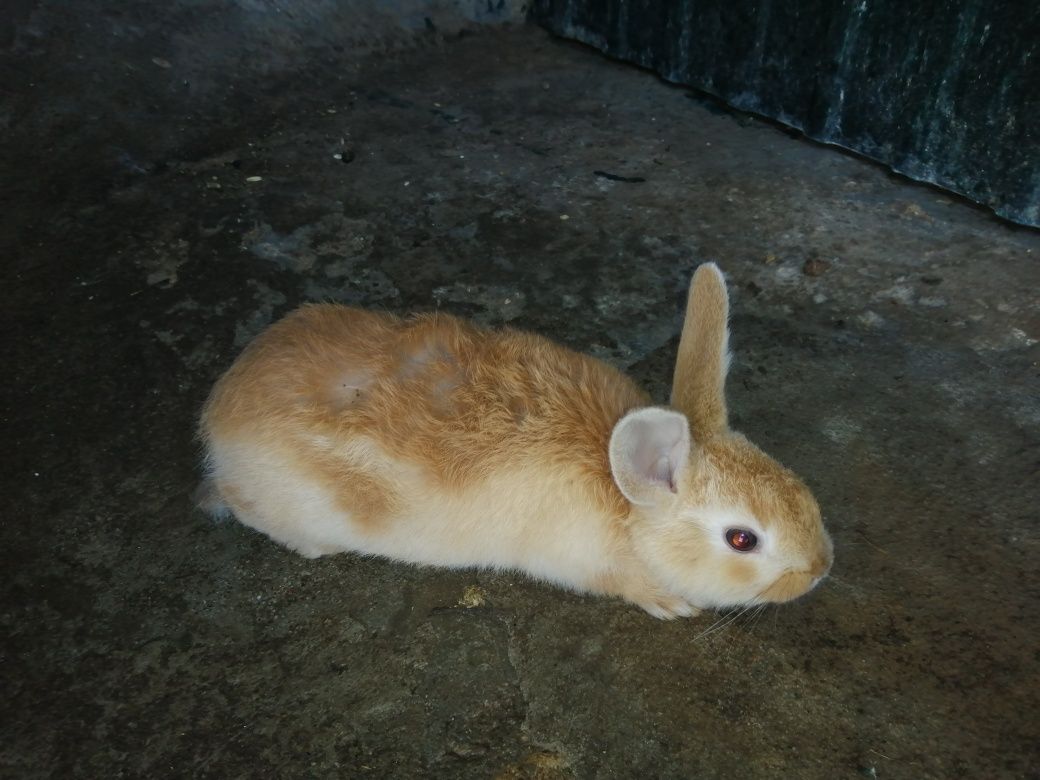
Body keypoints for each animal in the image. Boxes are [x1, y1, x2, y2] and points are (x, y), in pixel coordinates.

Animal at [200, 266, 836, 619]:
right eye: (741, 539)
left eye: (799, 487)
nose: (820, 569)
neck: (626, 504)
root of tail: (217, 417)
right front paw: (672, 605)